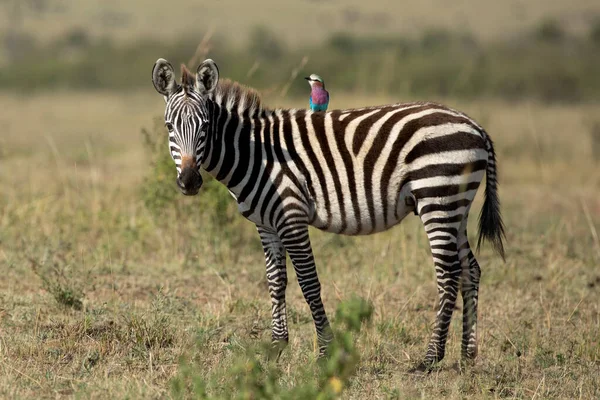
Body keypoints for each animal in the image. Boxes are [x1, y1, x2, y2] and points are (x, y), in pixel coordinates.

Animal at [151, 57, 506, 370]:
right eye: (169, 126)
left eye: (205, 126)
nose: (189, 182)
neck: (254, 153)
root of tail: (475, 125)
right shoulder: (266, 225)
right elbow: (276, 281)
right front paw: (276, 347)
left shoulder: (291, 215)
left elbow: (308, 283)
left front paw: (326, 352)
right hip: (455, 206)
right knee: (471, 270)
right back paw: (467, 355)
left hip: (437, 197)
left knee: (448, 273)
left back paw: (431, 358)